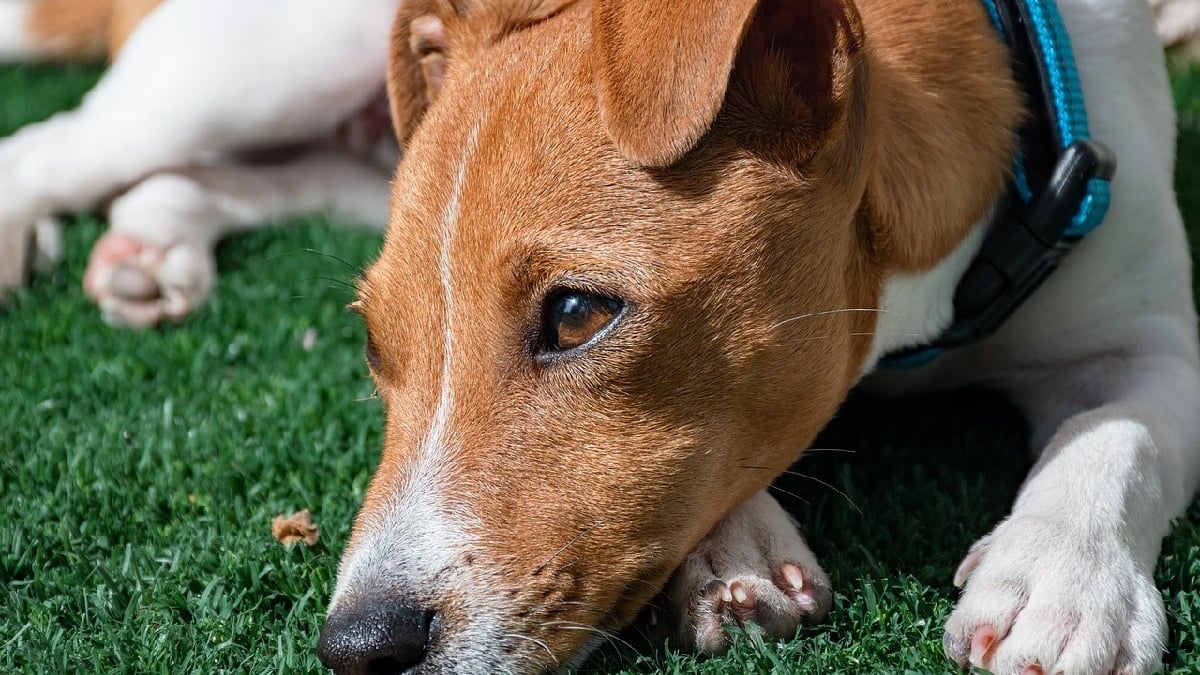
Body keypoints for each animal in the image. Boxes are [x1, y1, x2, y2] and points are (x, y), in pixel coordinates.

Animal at [2, 1, 1200, 672]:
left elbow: (1118, 436)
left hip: (355, 152)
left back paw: (155, 245)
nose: (356, 648)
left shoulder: (1150, 336)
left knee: (218, 177)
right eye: (377, 348)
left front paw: (1061, 584)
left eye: (577, 314)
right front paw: (734, 547)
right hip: (266, 66)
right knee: (67, 141)